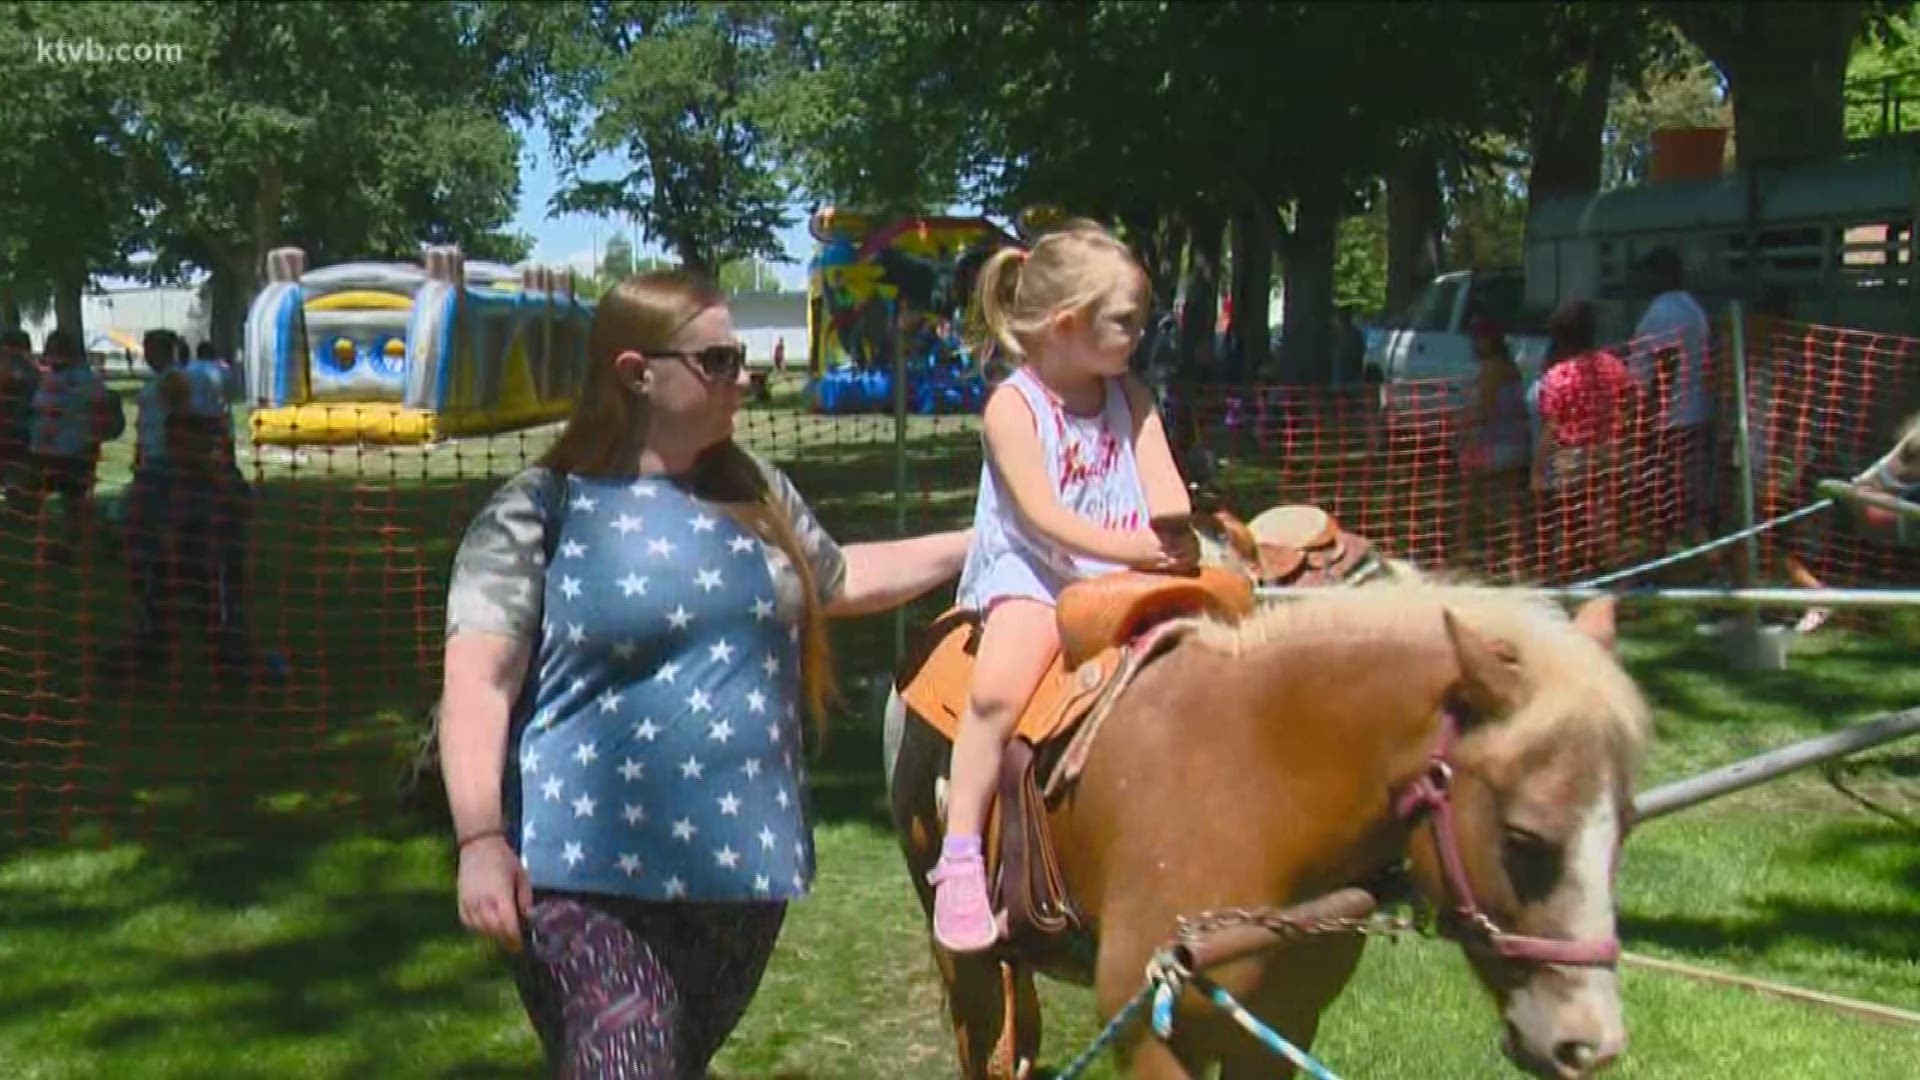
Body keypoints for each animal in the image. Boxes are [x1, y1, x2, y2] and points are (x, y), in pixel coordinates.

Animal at [883, 576, 1651, 1068]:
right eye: (1524, 838)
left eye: (1626, 827)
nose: (1592, 1043)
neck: (1258, 788)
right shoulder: (1150, 1034)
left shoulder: (1283, 1027)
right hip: (966, 964)